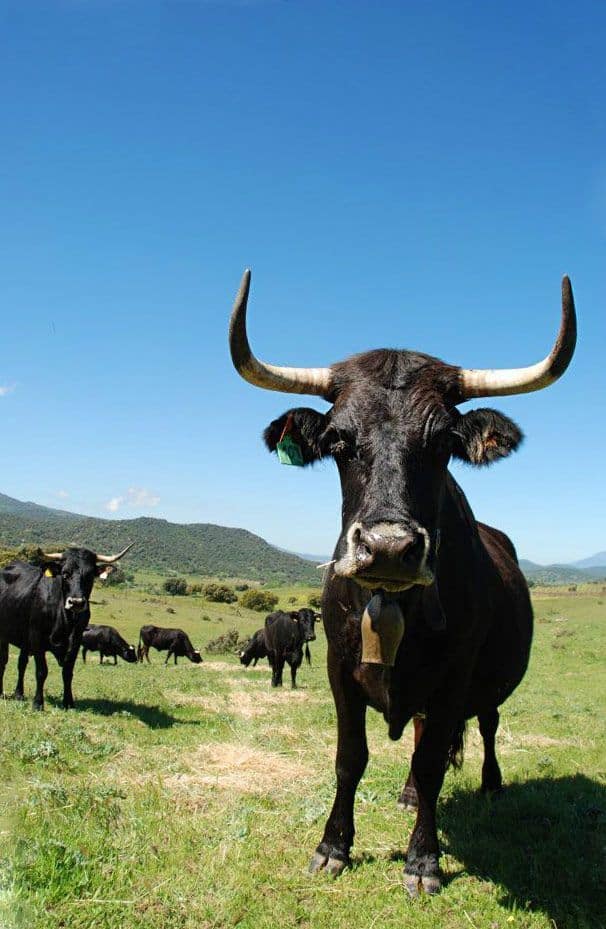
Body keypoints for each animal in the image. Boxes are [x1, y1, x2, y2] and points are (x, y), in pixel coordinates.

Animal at [0, 544, 134, 709]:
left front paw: (68, 702)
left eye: (90, 575)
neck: (64, 619)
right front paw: (38, 703)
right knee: (3, 661)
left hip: (25, 640)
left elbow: (68, 672)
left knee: (21, 664)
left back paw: (19, 693)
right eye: (65, 574)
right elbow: (41, 672)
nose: (76, 602)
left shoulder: (75, 641)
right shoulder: (37, 639)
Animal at [228, 269, 576, 895]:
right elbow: (351, 758)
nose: (389, 547)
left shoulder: (455, 676)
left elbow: (436, 759)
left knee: (486, 726)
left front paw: (423, 860)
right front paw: (333, 846)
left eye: (442, 444)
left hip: (487, 686)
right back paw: (410, 796)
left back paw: (489, 784)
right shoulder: (339, 670)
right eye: (339, 441)